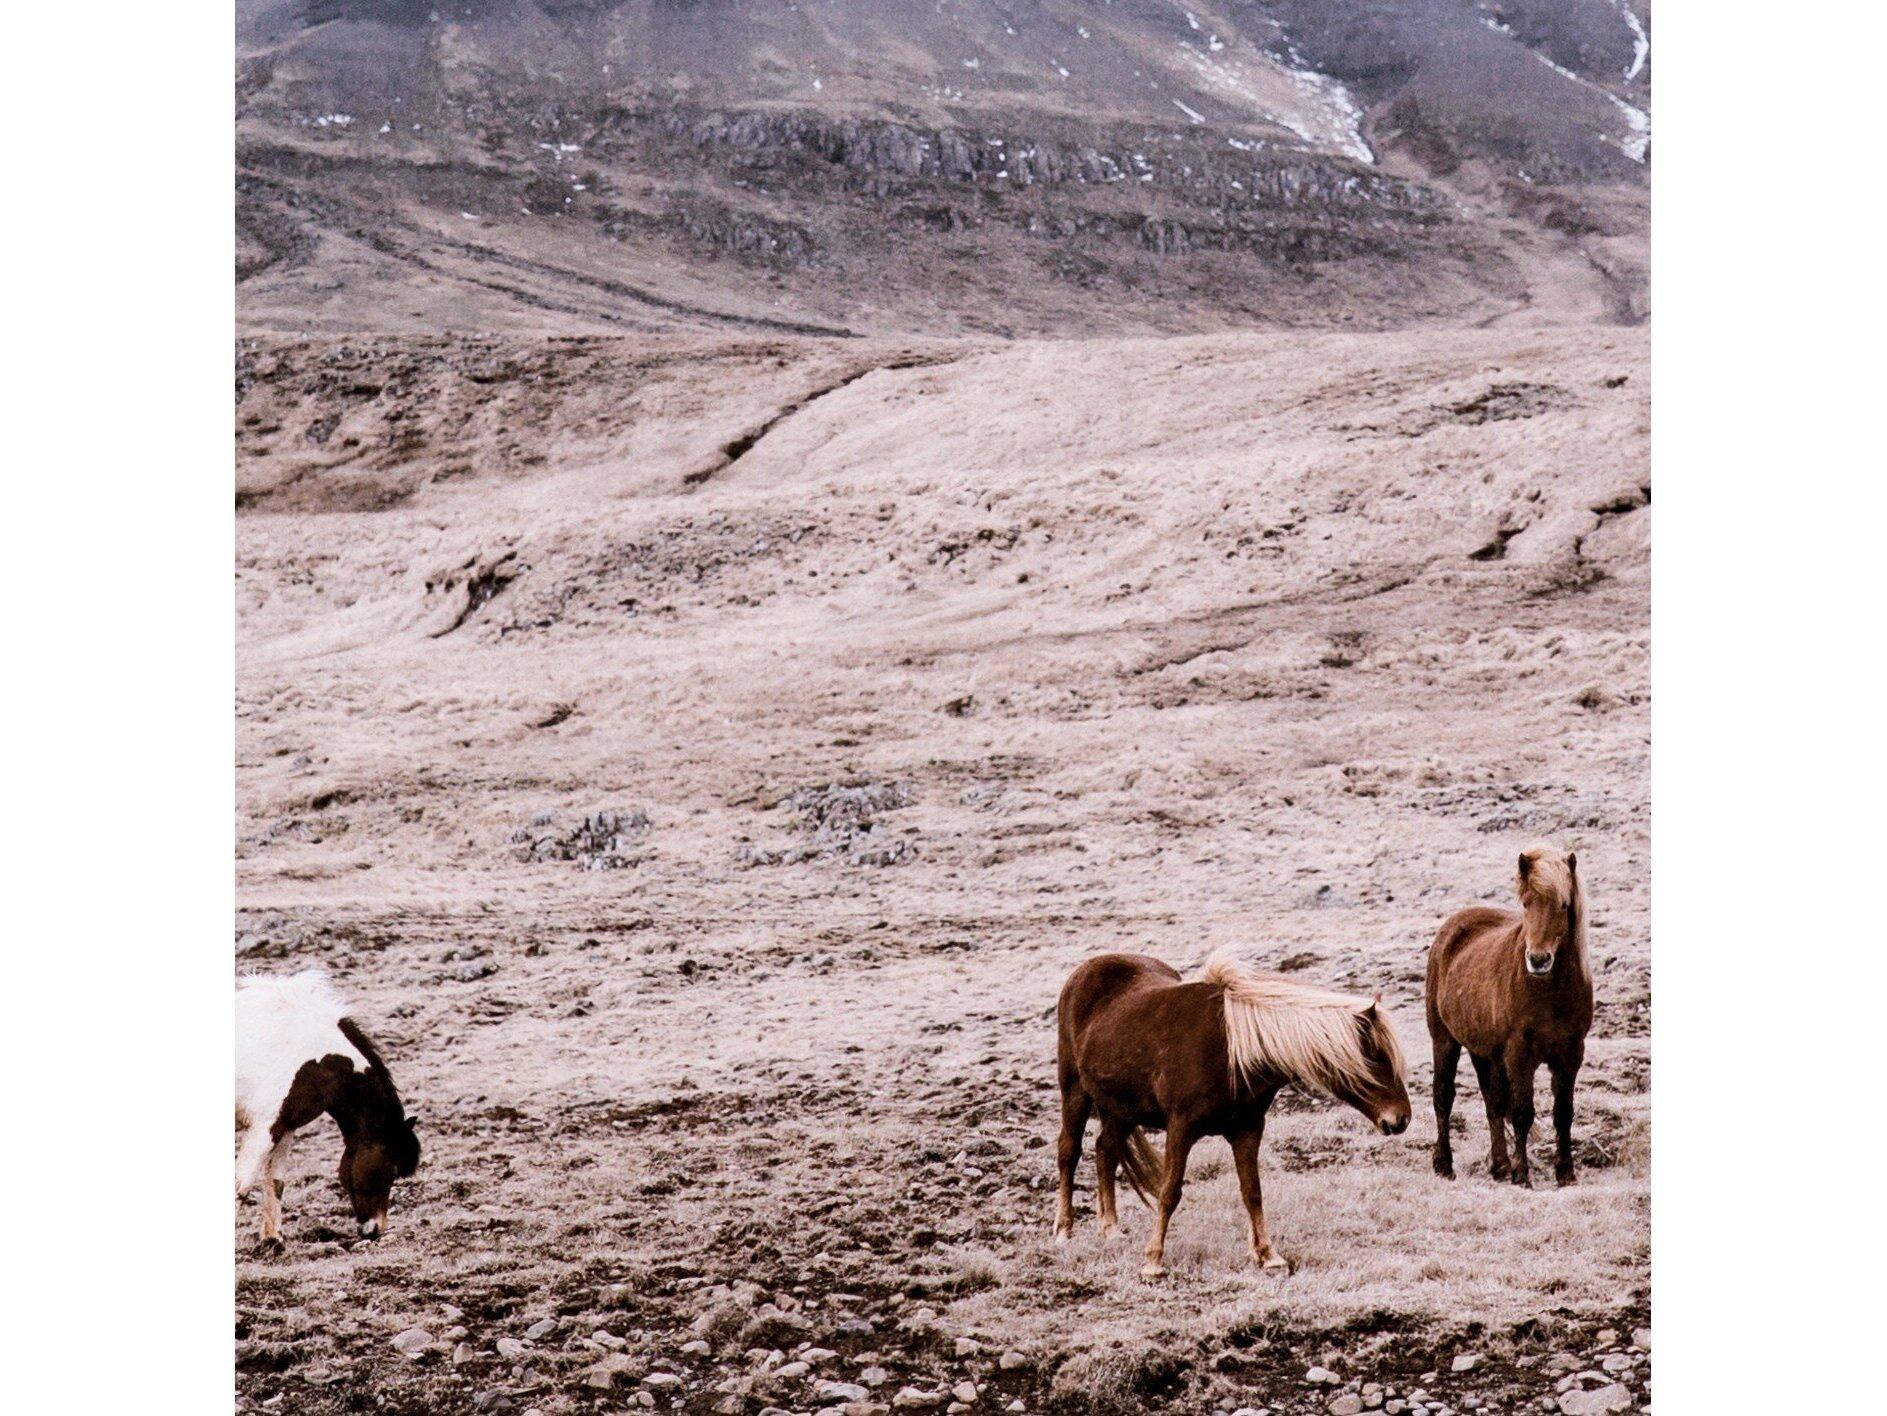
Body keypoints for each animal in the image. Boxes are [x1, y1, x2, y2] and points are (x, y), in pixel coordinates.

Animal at [235, 969, 420, 1248]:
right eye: (391, 1168)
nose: (375, 1229)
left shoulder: (284, 1127)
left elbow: (275, 1181)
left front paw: (274, 1240)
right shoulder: (264, 1127)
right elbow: (241, 1185)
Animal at [1055, 951, 1411, 1278]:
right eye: (1376, 1059)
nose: (1401, 1119)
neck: (1232, 1052)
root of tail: (1089, 969)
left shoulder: (1247, 1130)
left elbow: (1252, 1192)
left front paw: (1268, 1256)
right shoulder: (1181, 1128)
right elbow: (1169, 1192)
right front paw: (1153, 1261)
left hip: (1121, 1109)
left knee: (1106, 1152)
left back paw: (1110, 1229)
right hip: (1075, 1091)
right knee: (1070, 1153)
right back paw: (1064, 1229)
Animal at [1426, 846, 1593, 1188]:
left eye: (1563, 904)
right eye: (1526, 903)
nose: (1538, 960)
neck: (1549, 992)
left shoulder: (1571, 1054)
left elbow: (1563, 1113)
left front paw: (1565, 1174)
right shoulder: (1519, 1054)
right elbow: (1522, 1113)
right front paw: (1523, 1175)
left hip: (1484, 1052)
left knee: (1492, 1101)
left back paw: (1500, 1166)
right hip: (1444, 1040)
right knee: (1443, 1097)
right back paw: (1445, 1165)